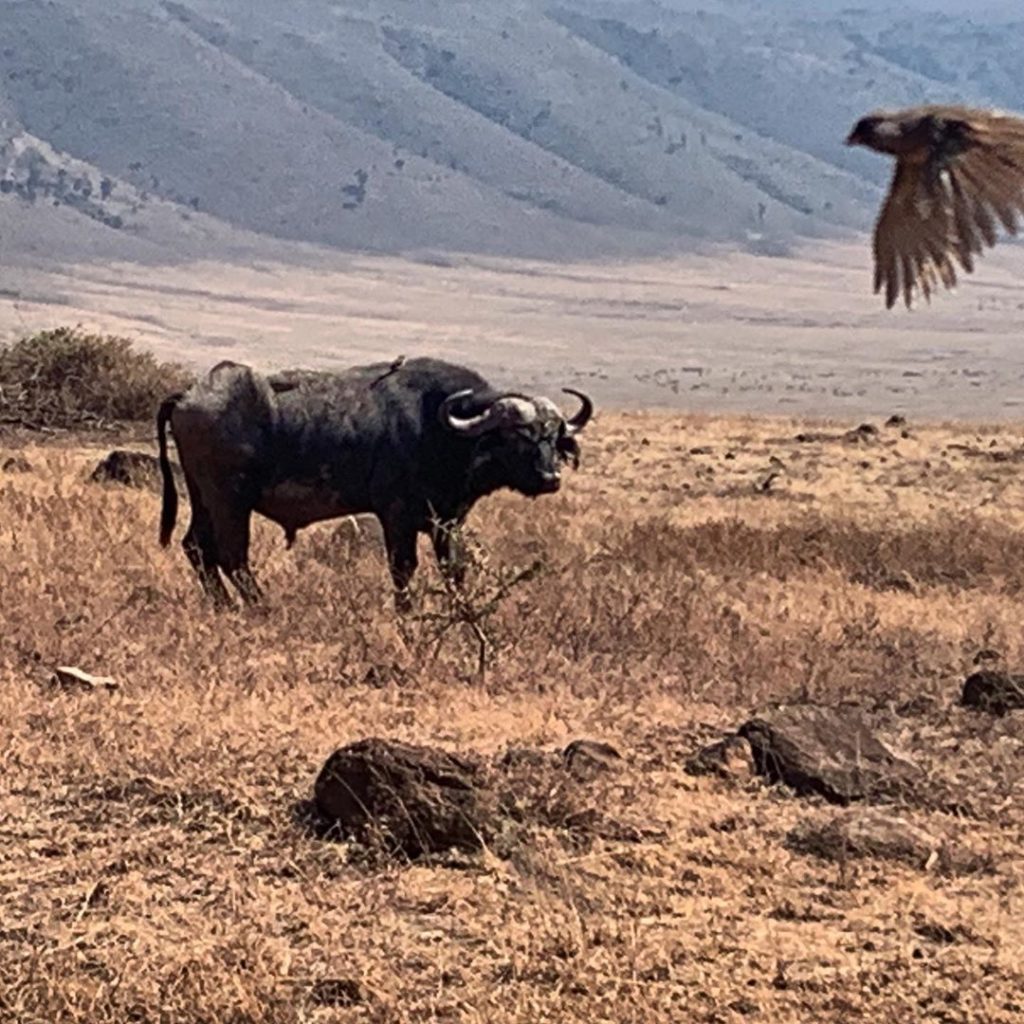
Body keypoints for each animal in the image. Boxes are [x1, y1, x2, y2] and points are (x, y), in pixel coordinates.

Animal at [157, 357, 592, 608]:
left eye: (553, 436)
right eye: (517, 435)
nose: (550, 477)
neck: (437, 427)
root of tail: (187, 395)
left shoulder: (448, 522)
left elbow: (455, 571)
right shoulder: (396, 518)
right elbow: (404, 570)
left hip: (203, 498)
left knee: (197, 548)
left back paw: (224, 608)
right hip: (230, 500)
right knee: (233, 556)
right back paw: (261, 608)